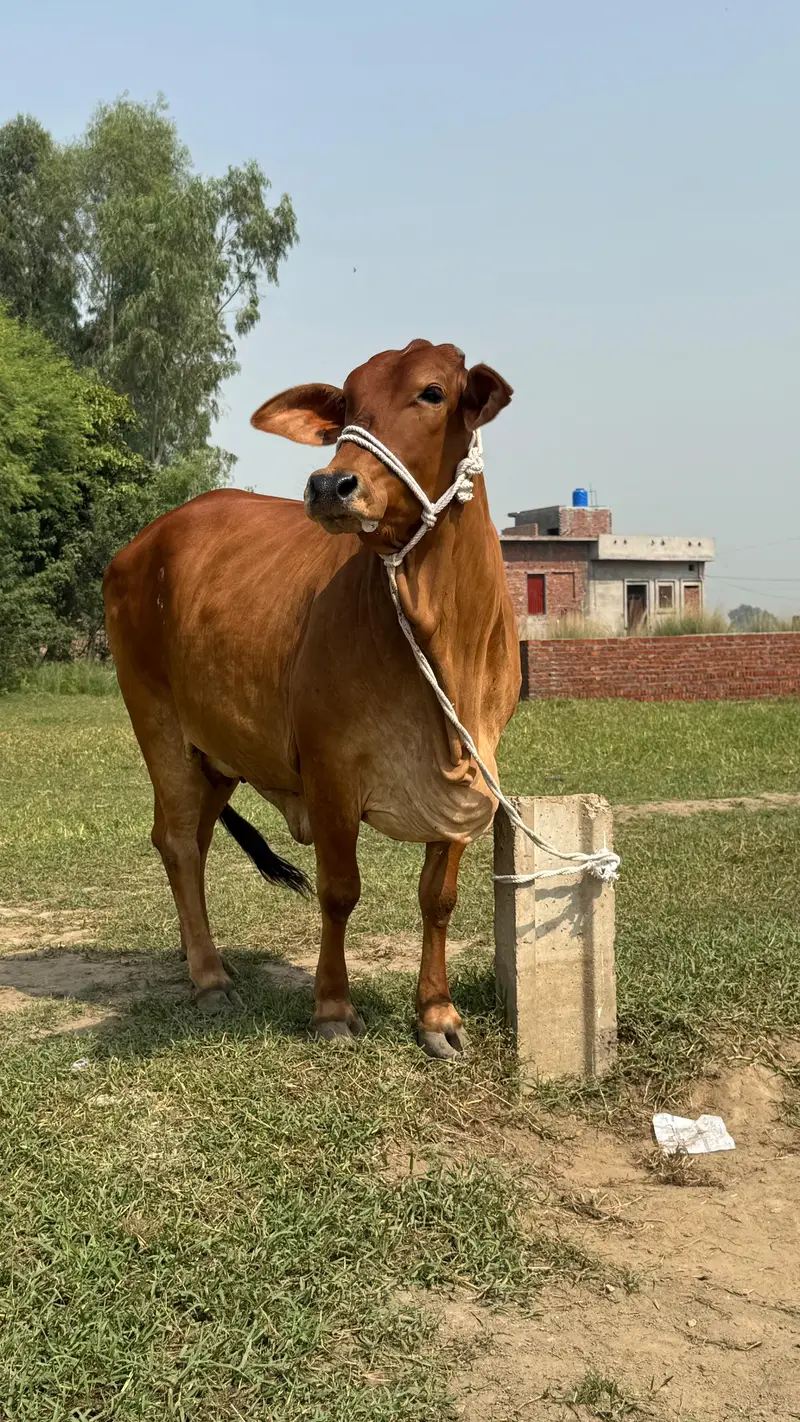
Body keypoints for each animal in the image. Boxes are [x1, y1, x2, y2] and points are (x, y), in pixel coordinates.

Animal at [103, 339, 520, 1058]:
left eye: (433, 392)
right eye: (348, 400)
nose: (331, 485)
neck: (441, 636)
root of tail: (141, 544)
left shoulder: (471, 772)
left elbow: (437, 897)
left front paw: (437, 1015)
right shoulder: (330, 774)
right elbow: (339, 890)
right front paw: (331, 1008)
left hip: (218, 751)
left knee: (194, 840)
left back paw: (200, 957)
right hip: (157, 724)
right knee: (178, 841)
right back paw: (209, 977)